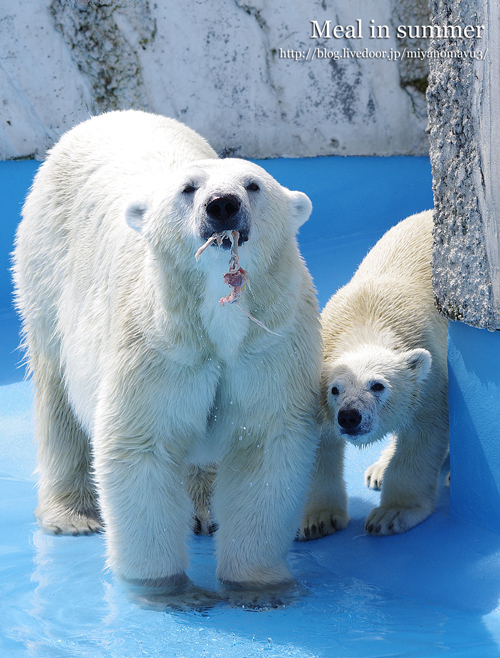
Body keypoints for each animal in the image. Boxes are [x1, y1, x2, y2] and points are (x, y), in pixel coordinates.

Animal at [14, 109, 324, 588]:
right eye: (188, 188)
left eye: (253, 184)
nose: (222, 205)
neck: (217, 315)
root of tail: (109, 115)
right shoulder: (159, 344)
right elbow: (142, 446)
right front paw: (162, 588)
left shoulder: (269, 343)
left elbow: (265, 442)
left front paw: (257, 584)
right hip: (46, 266)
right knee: (56, 393)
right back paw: (71, 515)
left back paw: (204, 509)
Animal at [298, 210, 448, 540]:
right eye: (335, 390)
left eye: (377, 386)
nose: (349, 417)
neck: (366, 318)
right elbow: (317, 446)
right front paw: (318, 519)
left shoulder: (429, 379)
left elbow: (422, 435)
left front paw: (391, 515)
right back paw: (378, 470)